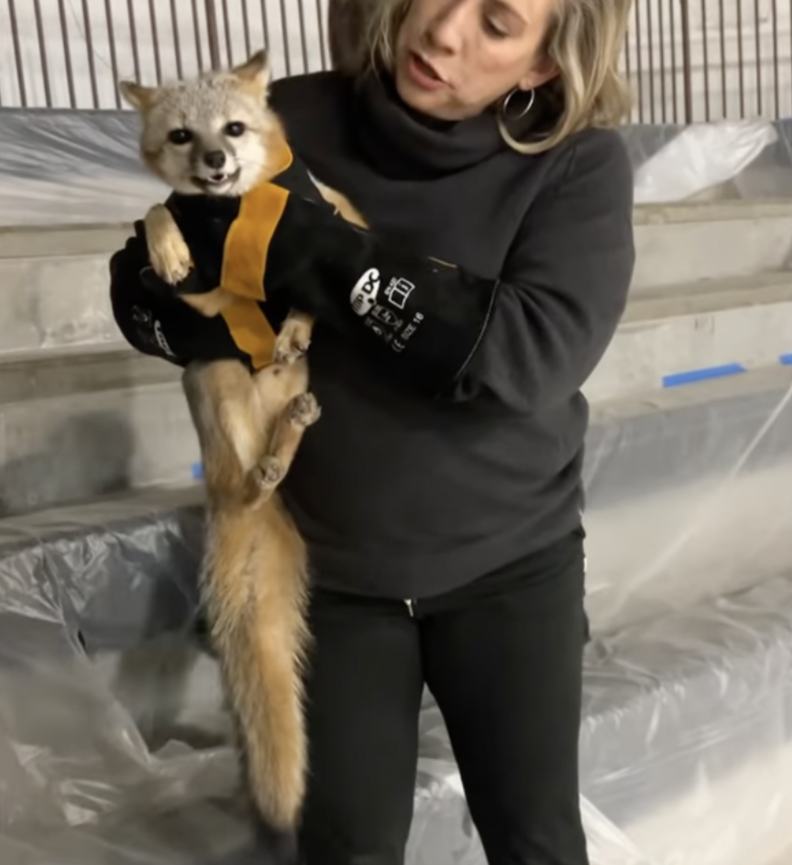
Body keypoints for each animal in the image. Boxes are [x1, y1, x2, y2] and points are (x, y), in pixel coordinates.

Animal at [118, 50, 367, 841]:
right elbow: (158, 212)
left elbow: (316, 286)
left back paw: (287, 422)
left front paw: (294, 325)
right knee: (248, 479)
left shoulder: (339, 221)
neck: (235, 219)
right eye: (181, 135)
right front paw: (167, 250)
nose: (216, 165)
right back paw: (265, 462)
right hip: (213, 373)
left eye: (232, 128)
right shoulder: (194, 250)